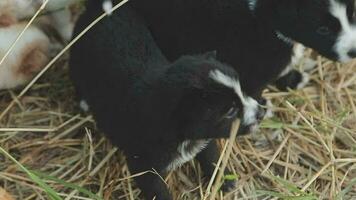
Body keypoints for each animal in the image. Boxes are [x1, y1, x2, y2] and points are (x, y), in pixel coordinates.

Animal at [69, 1, 264, 200]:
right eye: (230, 111)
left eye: (242, 90)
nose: (261, 112)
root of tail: (99, 9)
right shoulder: (143, 162)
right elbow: (157, 189)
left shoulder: (201, 137)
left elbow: (210, 155)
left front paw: (224, 180)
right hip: (78, 57)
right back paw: (84, 102)